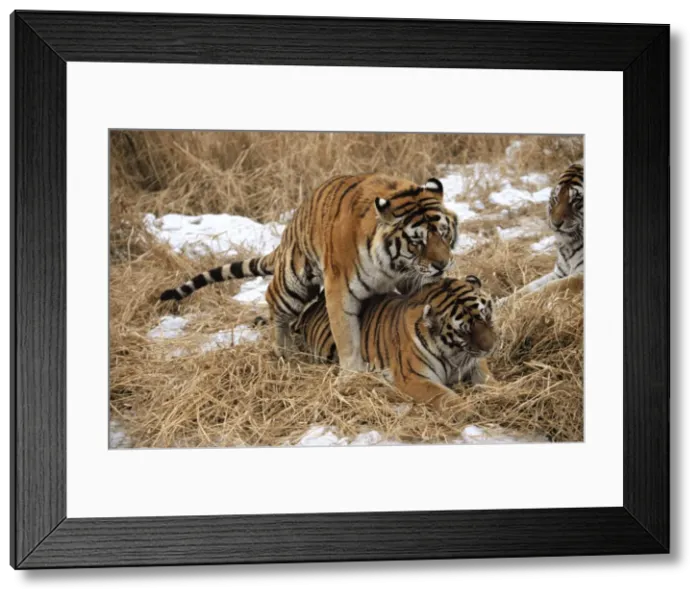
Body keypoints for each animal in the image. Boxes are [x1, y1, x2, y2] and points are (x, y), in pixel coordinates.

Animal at [158, 173, 459, 373]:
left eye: (444, 233)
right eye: (417, 241)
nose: (443, 264)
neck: (393, 266)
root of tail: (289, 229)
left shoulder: (411, 277)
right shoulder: (340, 290)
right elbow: (346, 336)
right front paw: (353, 376)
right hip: (294, 282)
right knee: (272, 300)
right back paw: (284, 351)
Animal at [283, 274, 496, 411]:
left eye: (486, 314)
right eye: (464, 331)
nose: (491, 347)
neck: (455, 354)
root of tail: (313, 308)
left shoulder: (475, 363)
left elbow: (488, 380)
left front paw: (497, 393)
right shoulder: (413, 377)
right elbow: (446, 398)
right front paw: (472, 412)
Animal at [498, 162, 584, 305]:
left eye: (575, 200)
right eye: (556, 198)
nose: (555, 223)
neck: (570, 246)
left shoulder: (579, 277)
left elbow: (549, 289)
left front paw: (518, 305)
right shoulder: (560, 272)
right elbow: (530, 286)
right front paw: (501, 302)